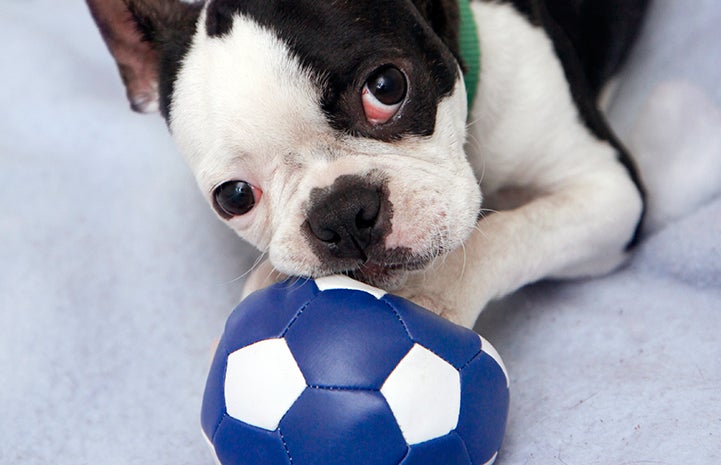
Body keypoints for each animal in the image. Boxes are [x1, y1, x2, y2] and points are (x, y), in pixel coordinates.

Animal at [84, 0, 648, 326]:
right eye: (235, 196)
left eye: (386, 87)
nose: (342, 213)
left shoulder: (611, 191)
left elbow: (508, 230)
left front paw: (433, 290)